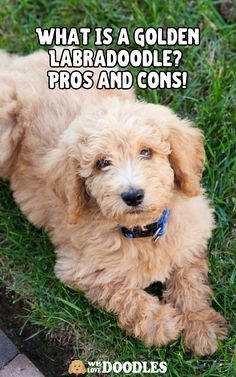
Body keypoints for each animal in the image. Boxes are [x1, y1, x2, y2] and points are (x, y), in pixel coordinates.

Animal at [0, 48, 226, 354]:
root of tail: (17, 64)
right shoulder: (81, 268)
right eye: (101, 163)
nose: (133, 195)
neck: (144, 233)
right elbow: (124, 294)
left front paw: (201, 327)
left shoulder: (190, 238)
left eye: (146, 152)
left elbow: (190, 282)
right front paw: (161, 324)